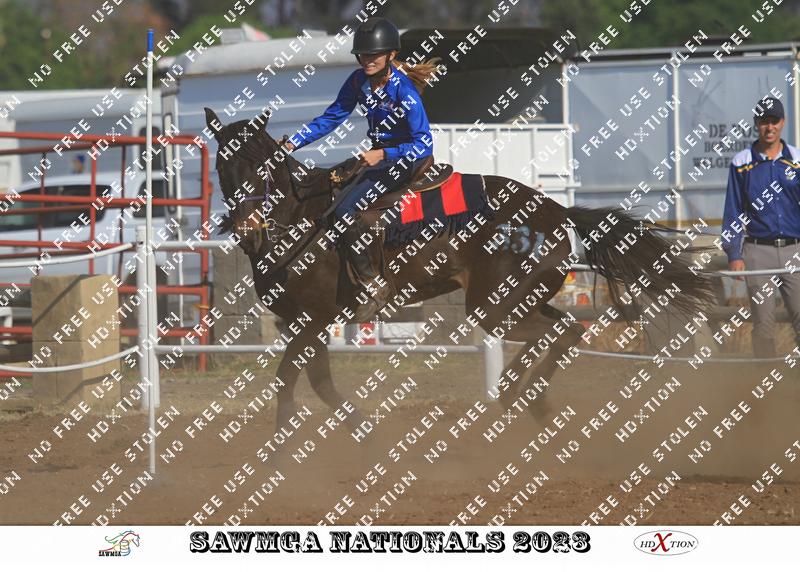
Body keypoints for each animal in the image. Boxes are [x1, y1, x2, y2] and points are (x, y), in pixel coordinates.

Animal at [203, 106, 715, 433]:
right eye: (224, 167)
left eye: (262, 164)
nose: (247, 228)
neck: (301, 221)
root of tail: (555, 211)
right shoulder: (302, 324)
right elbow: (316, 382)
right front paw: (361, 433)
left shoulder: (313, 320)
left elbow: (290, 380)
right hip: (519, 299)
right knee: (566, 330)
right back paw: (527, 402)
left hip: (494, 304)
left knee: (555, 333)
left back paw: (513, 397)